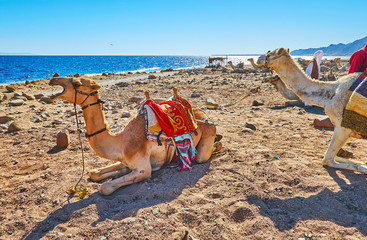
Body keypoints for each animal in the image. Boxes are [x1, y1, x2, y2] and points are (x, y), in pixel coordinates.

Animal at [49, 77, 221, 195]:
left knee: (202, 155)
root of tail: (203, 113)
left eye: (77, 83)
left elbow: (105, 187)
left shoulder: (144, 169)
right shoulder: (125, 159)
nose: (53, 79)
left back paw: (218, 143)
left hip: (207, 134)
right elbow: (94, 173)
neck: (121, 142)